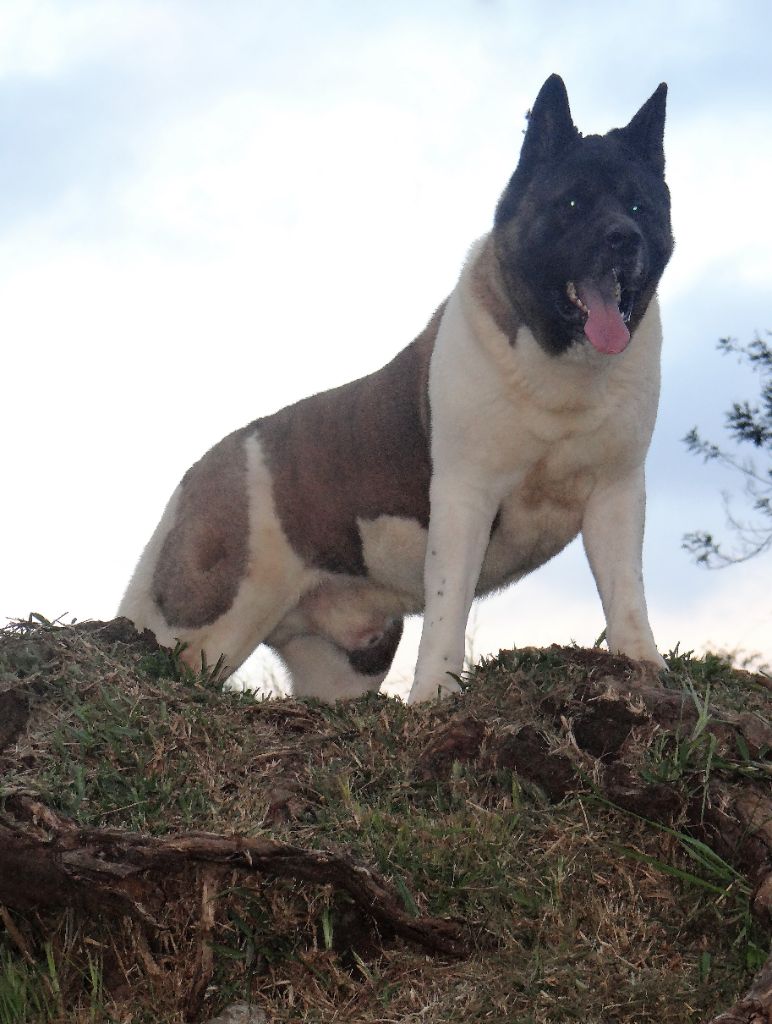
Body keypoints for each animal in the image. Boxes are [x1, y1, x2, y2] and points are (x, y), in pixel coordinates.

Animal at [117, 74, 671, 704]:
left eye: (639, 206)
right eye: (573, 204)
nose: (623, 239)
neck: (563, 363)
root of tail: (205, 467)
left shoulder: (615, 494)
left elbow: (625, 591)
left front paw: (644, 668)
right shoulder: (464, 497)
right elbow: (449, 607)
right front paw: (434, 696)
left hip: (346, 664)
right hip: (206, 615)